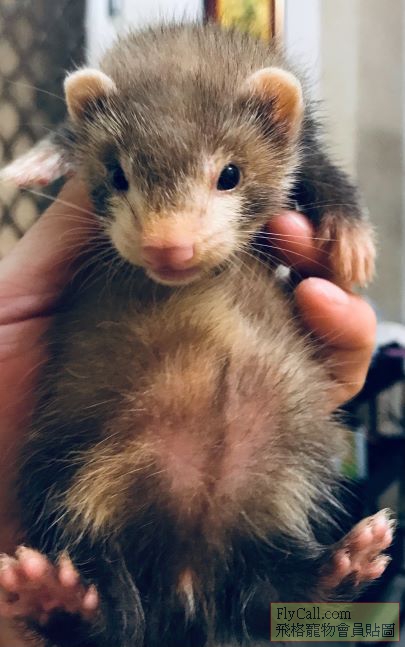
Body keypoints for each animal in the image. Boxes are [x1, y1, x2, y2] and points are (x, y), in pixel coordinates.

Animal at [0, 22, 392, 647]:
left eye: (230, 173)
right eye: (116, 173)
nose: (169, 245)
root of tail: (187, 583)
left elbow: (325, 174)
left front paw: (352, 241)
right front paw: (36, 159)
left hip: (287, 485)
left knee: (269, 593)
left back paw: (345, 562)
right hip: (67, 478)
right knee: (110, 612)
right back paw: (56, 595)